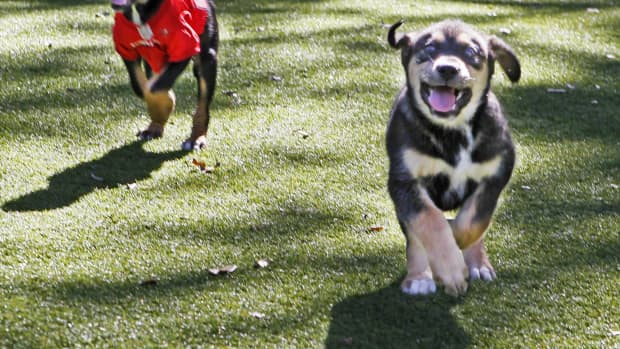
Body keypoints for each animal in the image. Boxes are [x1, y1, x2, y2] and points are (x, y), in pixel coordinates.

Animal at [111, 0, 218, 150]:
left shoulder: (184, 47)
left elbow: (155, 87)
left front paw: (167, 103)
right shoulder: (127, 49)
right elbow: (141, 86)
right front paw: (161, 112)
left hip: (207, 56)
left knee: (202, 105)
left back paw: (196, 138)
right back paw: (154, 128)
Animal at [386, 20, 520, 294]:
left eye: (472, 52)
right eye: (429, 48)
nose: (447, 68)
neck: (453, 132)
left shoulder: (495, 176)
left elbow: (475, 220)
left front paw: (459, 242)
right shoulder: (404, 182)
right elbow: (429, 221)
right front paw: (450, 269)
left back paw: (478, 263)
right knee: (415, 236)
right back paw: (419, 277)